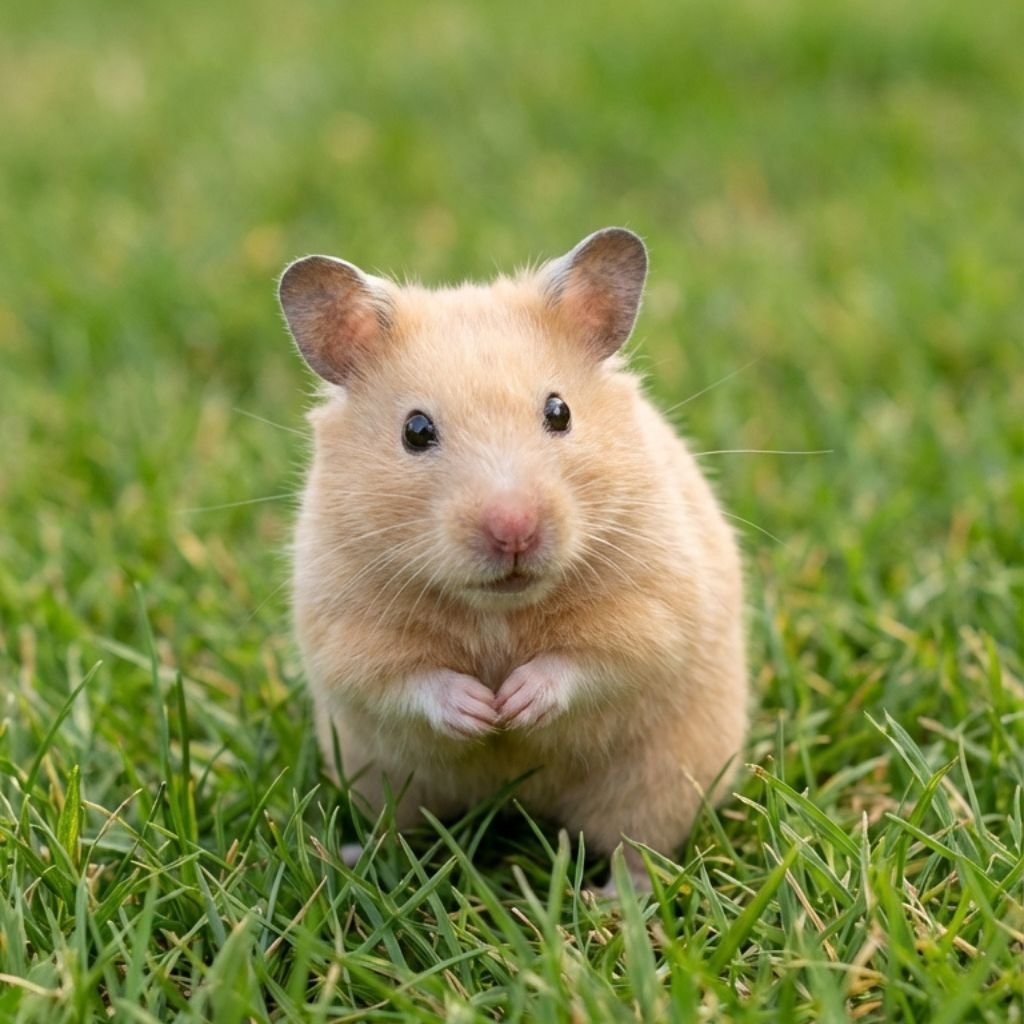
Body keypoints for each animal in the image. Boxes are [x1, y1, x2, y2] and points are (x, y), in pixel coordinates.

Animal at [278, 228, 748, 891]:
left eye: (559, 412)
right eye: (415, 430)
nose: (514, 530)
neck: (498, 607)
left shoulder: (656, 606)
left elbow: (598, 657)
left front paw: (514, 706)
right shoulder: (345, 631)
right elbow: (404, 677)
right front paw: (483, 712)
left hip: (657, 780)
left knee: (637, 848)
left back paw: (608, 897)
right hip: (383, 778)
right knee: (398, 830)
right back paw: (354, 860)